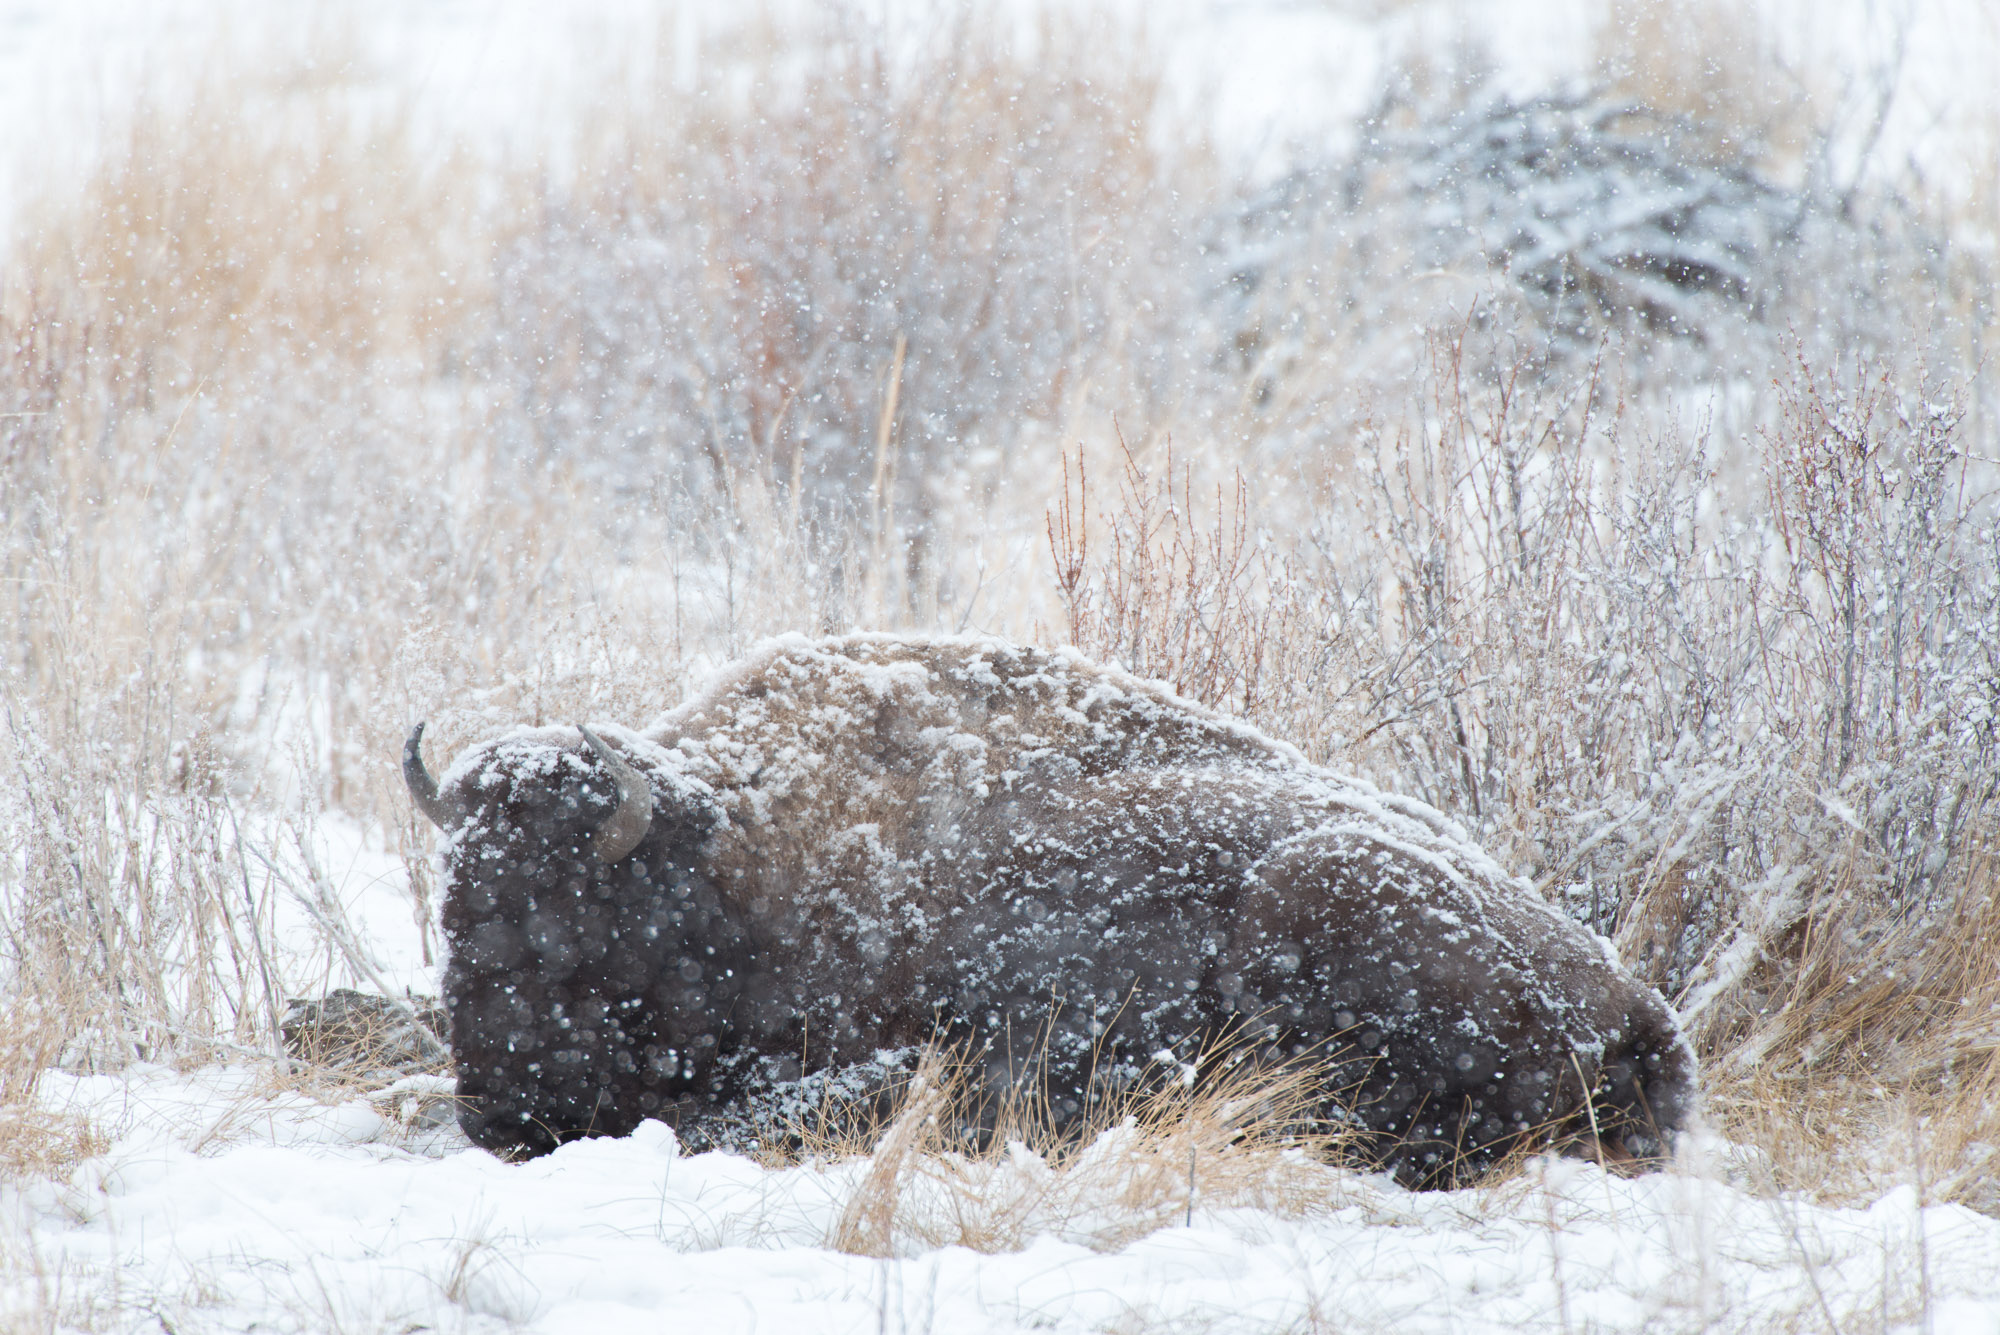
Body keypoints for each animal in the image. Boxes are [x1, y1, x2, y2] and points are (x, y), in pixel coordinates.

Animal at [414, 631, 1696, 1183]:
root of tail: (1641, 1010)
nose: (497, 1113)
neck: (734, 866)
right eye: (451, 913)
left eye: (566, 931)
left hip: (1319, 888)